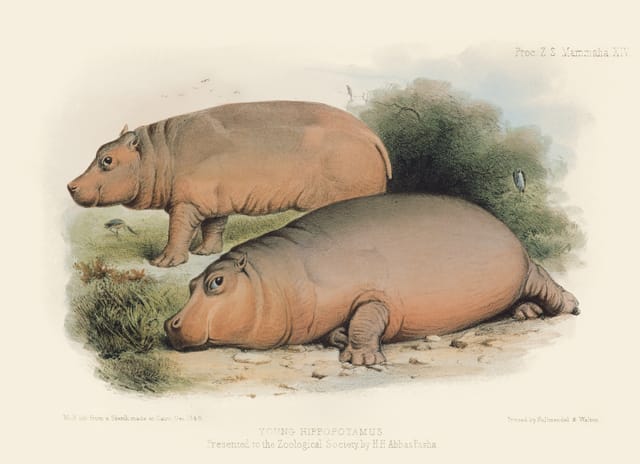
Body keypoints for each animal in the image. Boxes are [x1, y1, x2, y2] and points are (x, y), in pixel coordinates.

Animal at [67, 101, 392, 267]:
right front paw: (204, 253)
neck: (156, 154)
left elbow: (178, 231)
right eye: (100, 152)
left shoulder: (185, 203)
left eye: (107, 160)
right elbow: (214, 226)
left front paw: (162, 263)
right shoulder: (213, 201)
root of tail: (372, 135)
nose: (70, 185)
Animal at [164, 194, 579, 365]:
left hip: (525, 271)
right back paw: (525, 313)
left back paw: (568, 306)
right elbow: (343, 327)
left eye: (217, 282)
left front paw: (361, 359)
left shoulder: (372, 295)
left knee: (546, 281)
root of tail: (503, 225)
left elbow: (367, 318)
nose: (170, 323)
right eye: (191, 284)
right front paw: (340, 338)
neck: (277, 277)